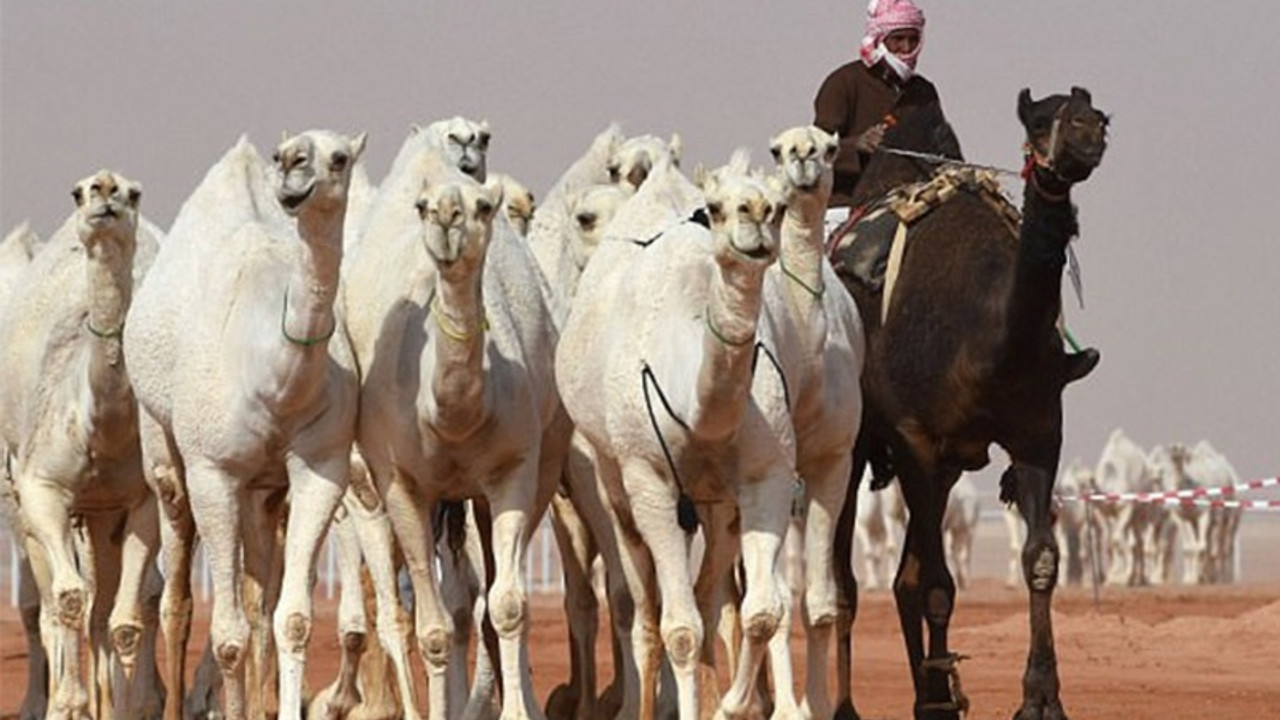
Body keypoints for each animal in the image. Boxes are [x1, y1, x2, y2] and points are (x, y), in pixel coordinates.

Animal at [0, 169, 162, 717]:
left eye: (134, 193)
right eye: (79, 191)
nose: (105, 189)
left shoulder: (140, 500)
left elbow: (126, 619)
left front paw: (128, 707)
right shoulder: (41, 489)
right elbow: (66, 601)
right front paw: (66, 706)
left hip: (101, 514)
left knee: (105, 604)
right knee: (52, 603)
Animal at [125, 128, 368, 717]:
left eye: (339, 158)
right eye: (283, 154)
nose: (294, 166)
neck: (274, 375)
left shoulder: (321, 468)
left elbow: (292, 619)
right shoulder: (212, 472)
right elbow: (228, 635)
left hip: (264, 491)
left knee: (261, 600)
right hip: (163, 450)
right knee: (176, 599)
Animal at [340, 131, 565, 717]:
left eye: (483, 207)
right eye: (422, 208)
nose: (446, 217)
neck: (452, 418)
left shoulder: (513, 470)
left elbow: (507, 606)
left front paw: (518, 712)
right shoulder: (401, 484)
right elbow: (433, 628)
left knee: (484, 598)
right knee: (413, 609)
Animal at [555, 154, 793, 717]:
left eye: (779, 206)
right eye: (717, 207)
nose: (755, 216)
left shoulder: (765, 474)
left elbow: (760, 613)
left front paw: (731, 705)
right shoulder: (649, 483)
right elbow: (679, 631)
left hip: (717, 505)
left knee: (708, 597)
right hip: (612, 484)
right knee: (643, 611)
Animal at [829, 85, 1111, 717]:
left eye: (1098, 113)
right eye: (1038, 120)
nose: (1089, 132)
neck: (986, 336)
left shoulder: (1037, 435)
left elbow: (1040, 561)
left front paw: (1040, 699)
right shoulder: (914, 439)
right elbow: (938, 583)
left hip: (948, 467)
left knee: (903, 576)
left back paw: (930, 693)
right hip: (854, 446)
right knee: (843, 580)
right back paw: (846, 706)